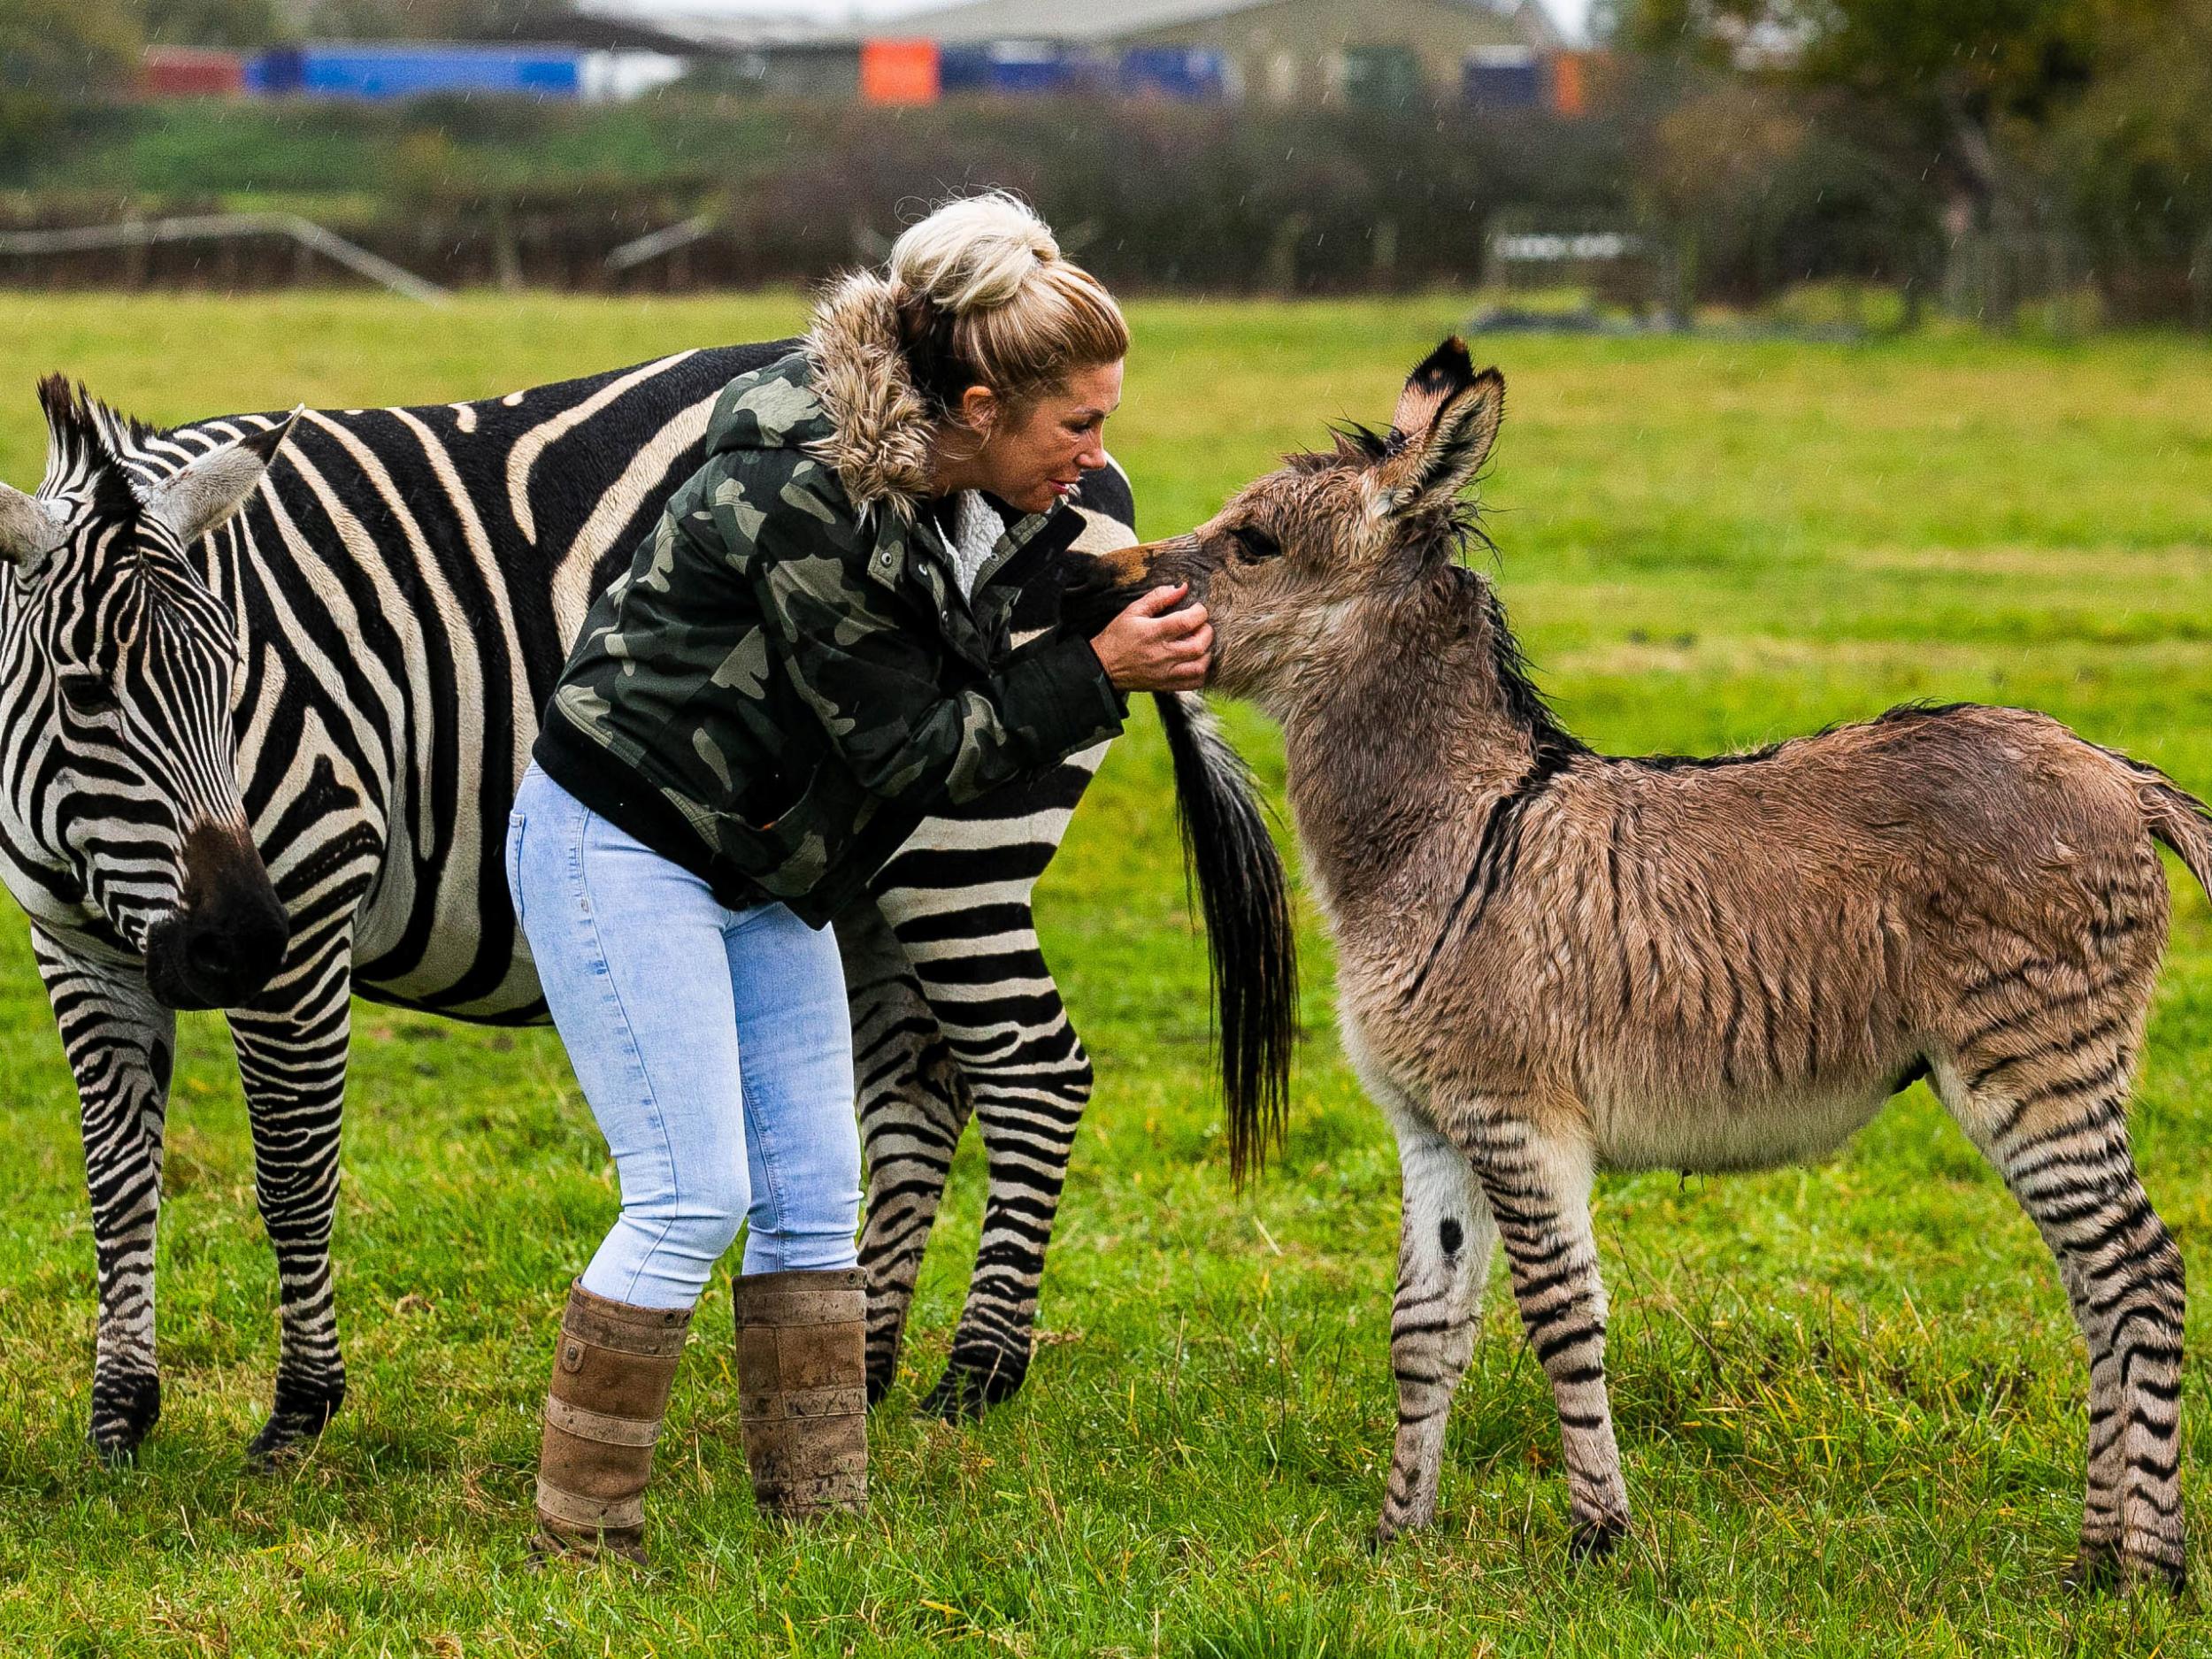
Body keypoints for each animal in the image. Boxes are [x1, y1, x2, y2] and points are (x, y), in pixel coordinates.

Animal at [0, 351, 1292, 1469]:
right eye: (84, 691)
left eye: (237, 675)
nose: (231, 942)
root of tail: (1101, 479)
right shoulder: (75, 947)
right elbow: (117, 1180)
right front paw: (120, 1413)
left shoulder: (313, 891)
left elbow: (292, 1169)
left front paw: (298, 1414)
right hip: (871, 878)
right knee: (920, 1089)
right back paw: (869, 1358)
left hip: (960, 849)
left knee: (1035, 1071)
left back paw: (976, 1372)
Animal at [1079, 341, 2203, 1601]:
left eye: (1256, 542)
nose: (1093, 585)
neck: (1451, 832)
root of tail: (2112, 768)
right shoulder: (1433, 1126)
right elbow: (1423, 1329)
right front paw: (1396, 1536)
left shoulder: (1517, 1120)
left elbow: (1561, 1317)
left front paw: (1598, 1536)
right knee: (2095, 1286)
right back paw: (2095, 1557)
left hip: (2034, 1069)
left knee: (2139, 1276)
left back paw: (2152, 1567)